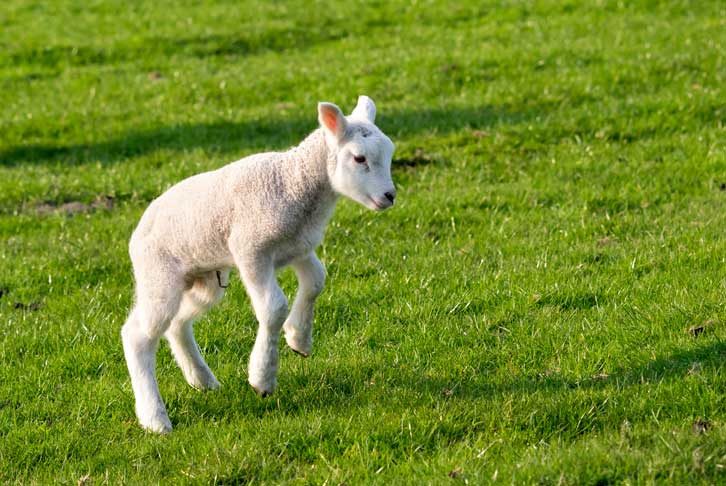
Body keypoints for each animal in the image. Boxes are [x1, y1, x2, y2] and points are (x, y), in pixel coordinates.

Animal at [123, 95, 400, 432]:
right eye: (359, 159)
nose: (389, 196)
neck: (295, 181)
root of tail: (138, 231)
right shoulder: (251, 250)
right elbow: (274, 307)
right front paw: (262, 377)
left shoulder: (298, 247)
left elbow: (316, 281)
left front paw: (298, 339)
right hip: (158, 274)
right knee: (138, 335)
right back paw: (155, 418)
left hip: (204, 278)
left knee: (177, 323)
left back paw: (202, 380)